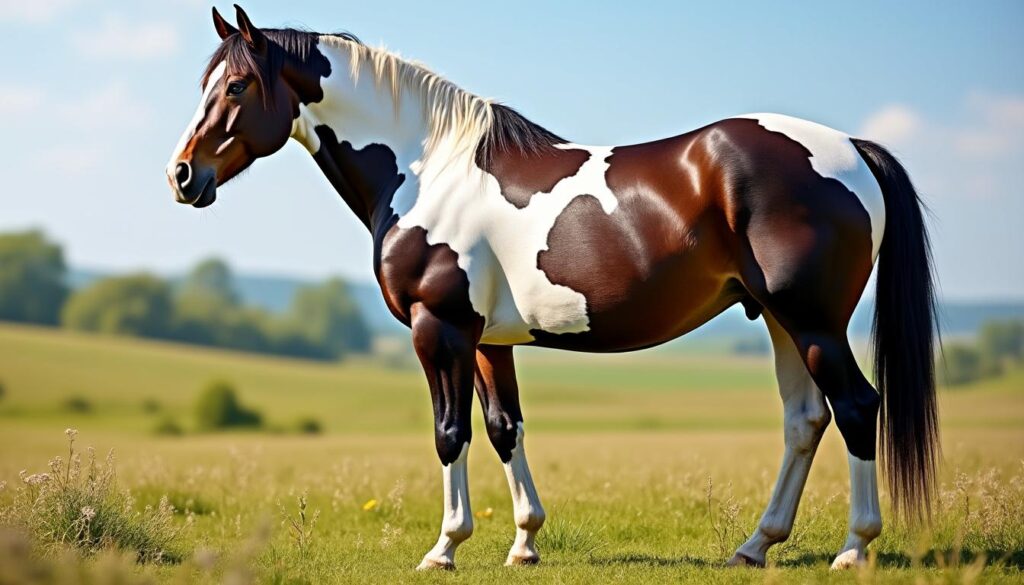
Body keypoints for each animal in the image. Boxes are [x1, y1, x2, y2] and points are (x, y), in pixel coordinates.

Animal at [167, 6, 939, 571]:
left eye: (236, 87)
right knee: (804, 419)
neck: (426, 169)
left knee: (856, 406)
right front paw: (523, 542)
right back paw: (755, 546)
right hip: (780, 319)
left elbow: (450, 434)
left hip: (812, 320)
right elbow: (503, 428)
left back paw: (853, 549)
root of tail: (851, 149)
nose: (182, 175)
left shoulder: (437, 327)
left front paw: (443, 548)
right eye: (205, 86)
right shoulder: (484, 341)